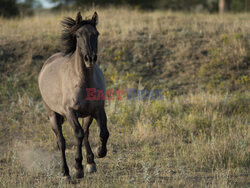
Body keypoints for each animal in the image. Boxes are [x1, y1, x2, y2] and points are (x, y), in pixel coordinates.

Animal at [38, 11, 109, 179]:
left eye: (96, 34)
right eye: (77, 35)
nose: (90, 58)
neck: (83, 81)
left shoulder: (98, 110)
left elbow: (103, 133)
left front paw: (100, 153)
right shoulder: (70, 112)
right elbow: (78, 134)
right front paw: (77, 168)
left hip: (87, 115)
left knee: (87, 133)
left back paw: (90, 163)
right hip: (53, 115)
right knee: (61, 141)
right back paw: (66, 172)